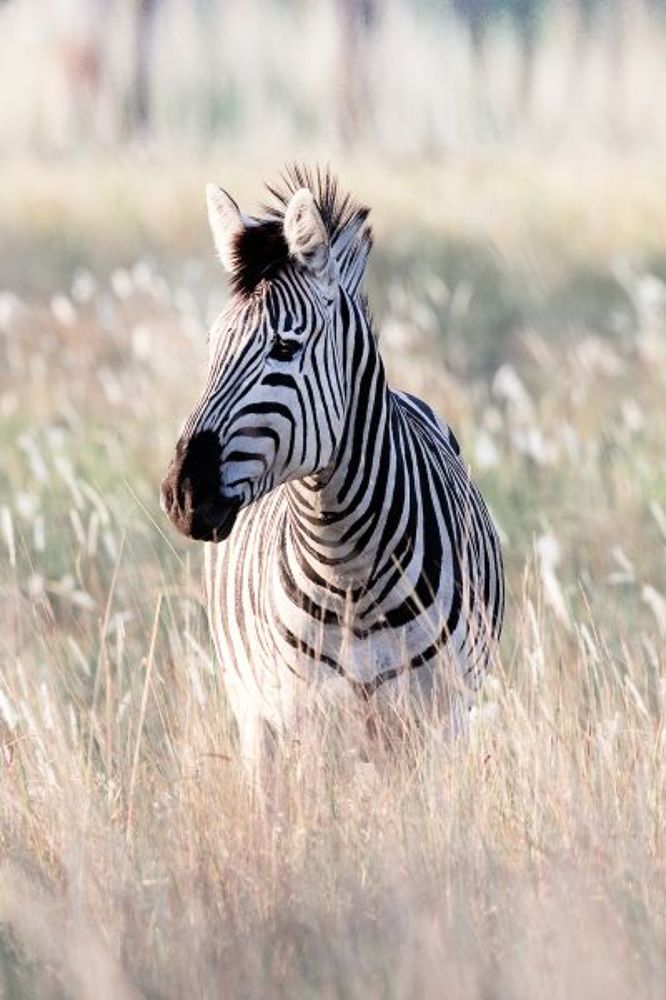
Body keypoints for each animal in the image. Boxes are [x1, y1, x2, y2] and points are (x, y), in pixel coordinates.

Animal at [161, 167, 504, 763]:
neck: (348, 568)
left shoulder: (437, 719)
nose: (183, 493)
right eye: (211, 344)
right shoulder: (303, 718)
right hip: (255, 714)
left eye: (284, 348)